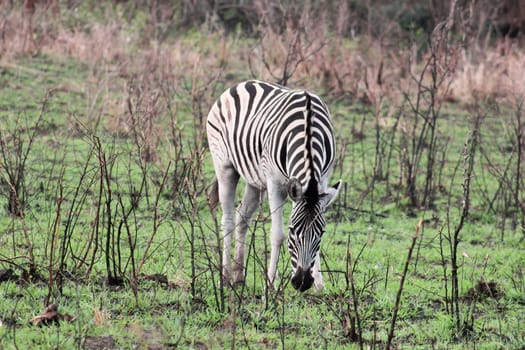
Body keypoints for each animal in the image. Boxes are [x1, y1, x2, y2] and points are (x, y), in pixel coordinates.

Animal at [205, 80, 340, 292]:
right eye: (293, 230)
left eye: (321, 233)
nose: (303, 283)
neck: (308, 129)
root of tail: (242, 83)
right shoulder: (275, 183)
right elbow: (277, 235)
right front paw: (270, 285)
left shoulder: (324, 179)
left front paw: (320, 285)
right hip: (224, 165)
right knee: (227, 220)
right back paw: (225, 278)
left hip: (254, 179)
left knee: (242, 217)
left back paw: (239, 276)